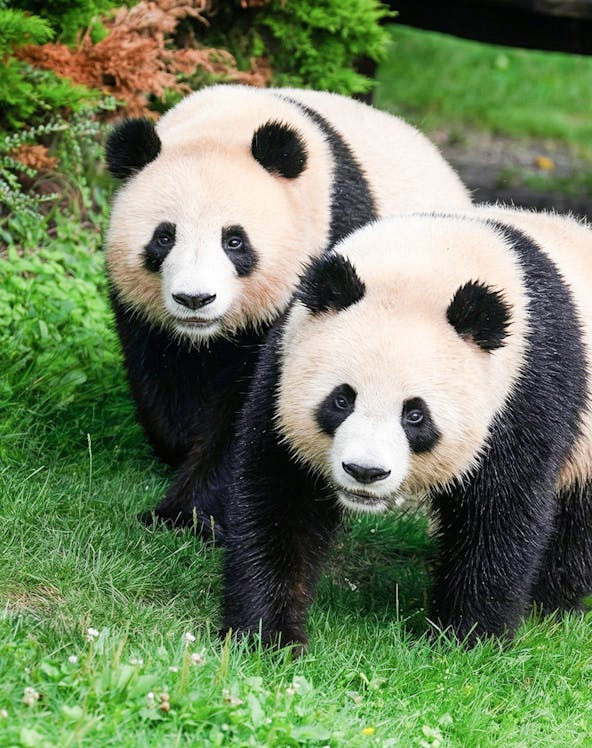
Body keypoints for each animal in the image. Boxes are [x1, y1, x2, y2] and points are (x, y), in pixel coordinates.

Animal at [105, 84, 471, 539]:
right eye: (164, 237)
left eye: (235, 241)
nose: (195, 299)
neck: (231, 121)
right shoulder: (145, 314)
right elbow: (163, 376)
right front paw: (179, 451)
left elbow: (257, 413)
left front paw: (186, 516)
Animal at [221, 206, 592, 648]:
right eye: (342, 400)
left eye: (415, 415)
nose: (365, 471)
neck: (428, 259)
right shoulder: (282, 362)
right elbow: (280, 498)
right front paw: (267, 635)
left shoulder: (525, 392)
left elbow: (501, 513)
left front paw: (464, 639)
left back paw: (549, 604)